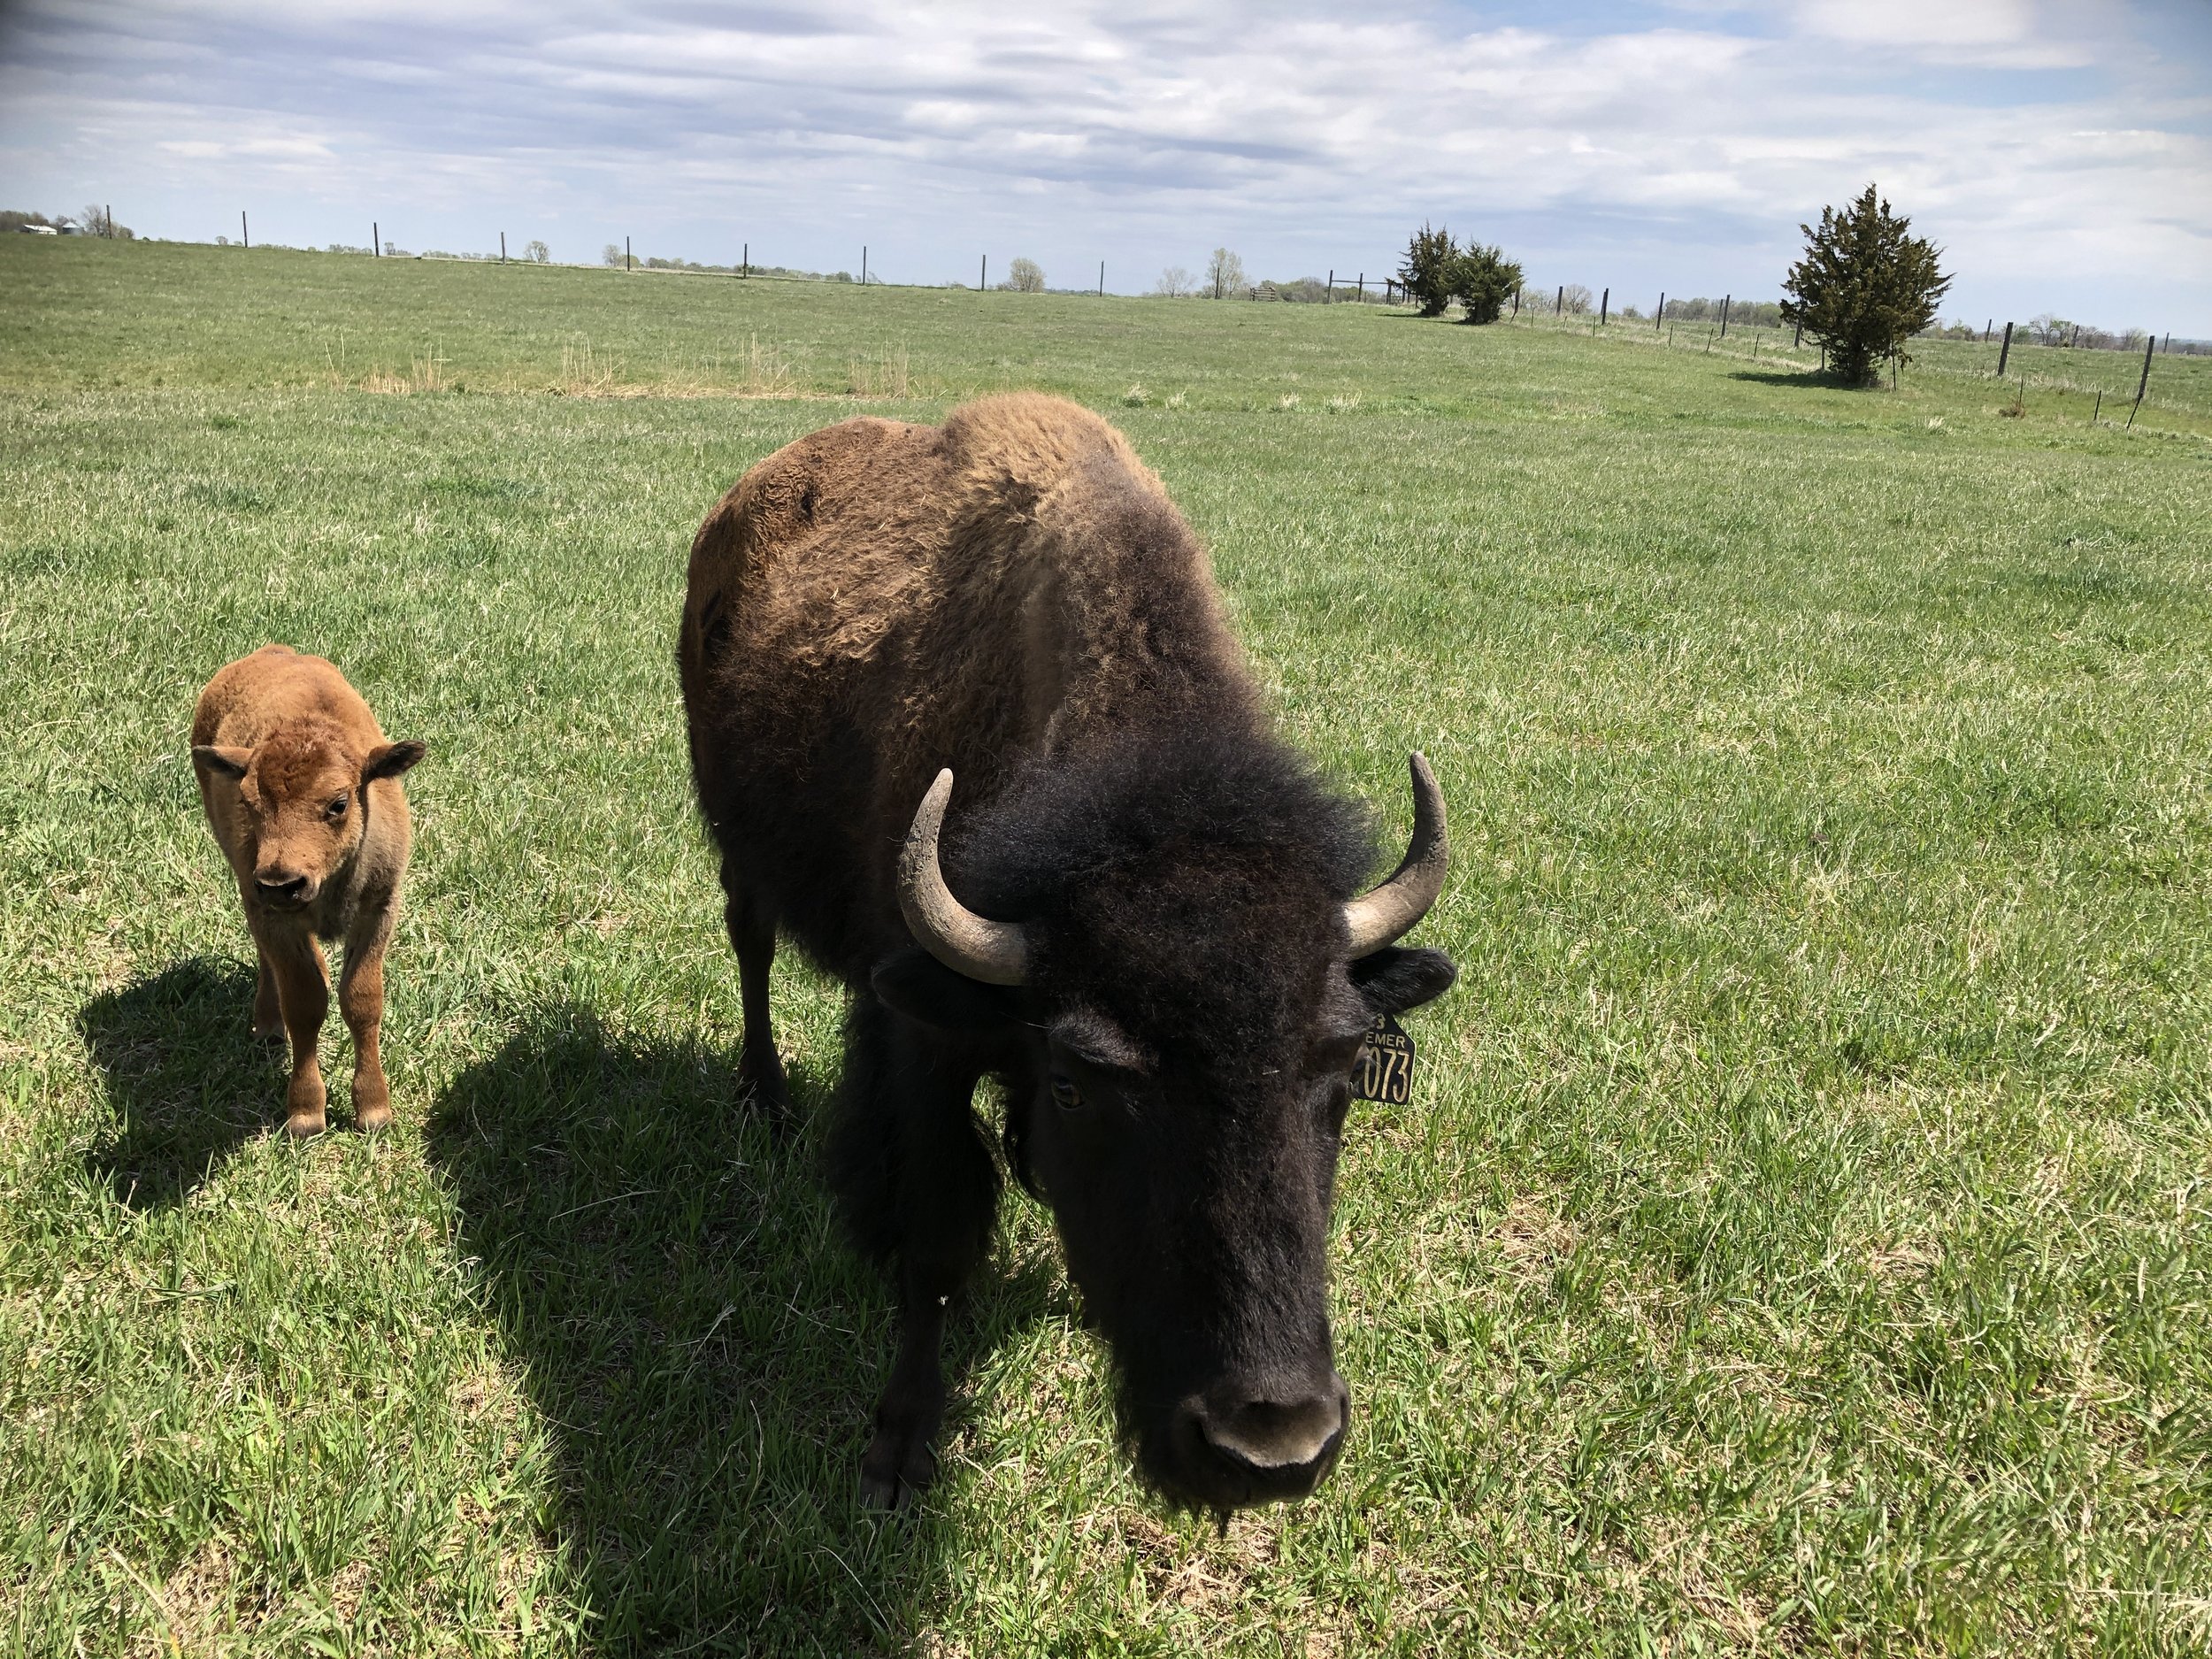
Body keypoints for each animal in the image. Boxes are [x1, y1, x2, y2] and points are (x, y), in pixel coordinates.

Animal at [191, 645, 425, 1136]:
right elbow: (304, 1001)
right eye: (249, 802)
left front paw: (374, 1111)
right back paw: (266, 1026)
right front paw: (305, 1115)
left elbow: (362, 1000)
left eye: (338, 803)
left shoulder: (379, 910)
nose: (281, 882)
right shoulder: (275, 917)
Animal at [678, 394, 1455, 1512]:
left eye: (1344, 1070)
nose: (1269, 1444)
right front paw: (897, 1451)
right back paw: (764, 1099)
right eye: (1080, 1082)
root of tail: (746, 497)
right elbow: (937, 1242)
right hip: (735, 837)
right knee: (751, 945)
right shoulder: (925, 1042)